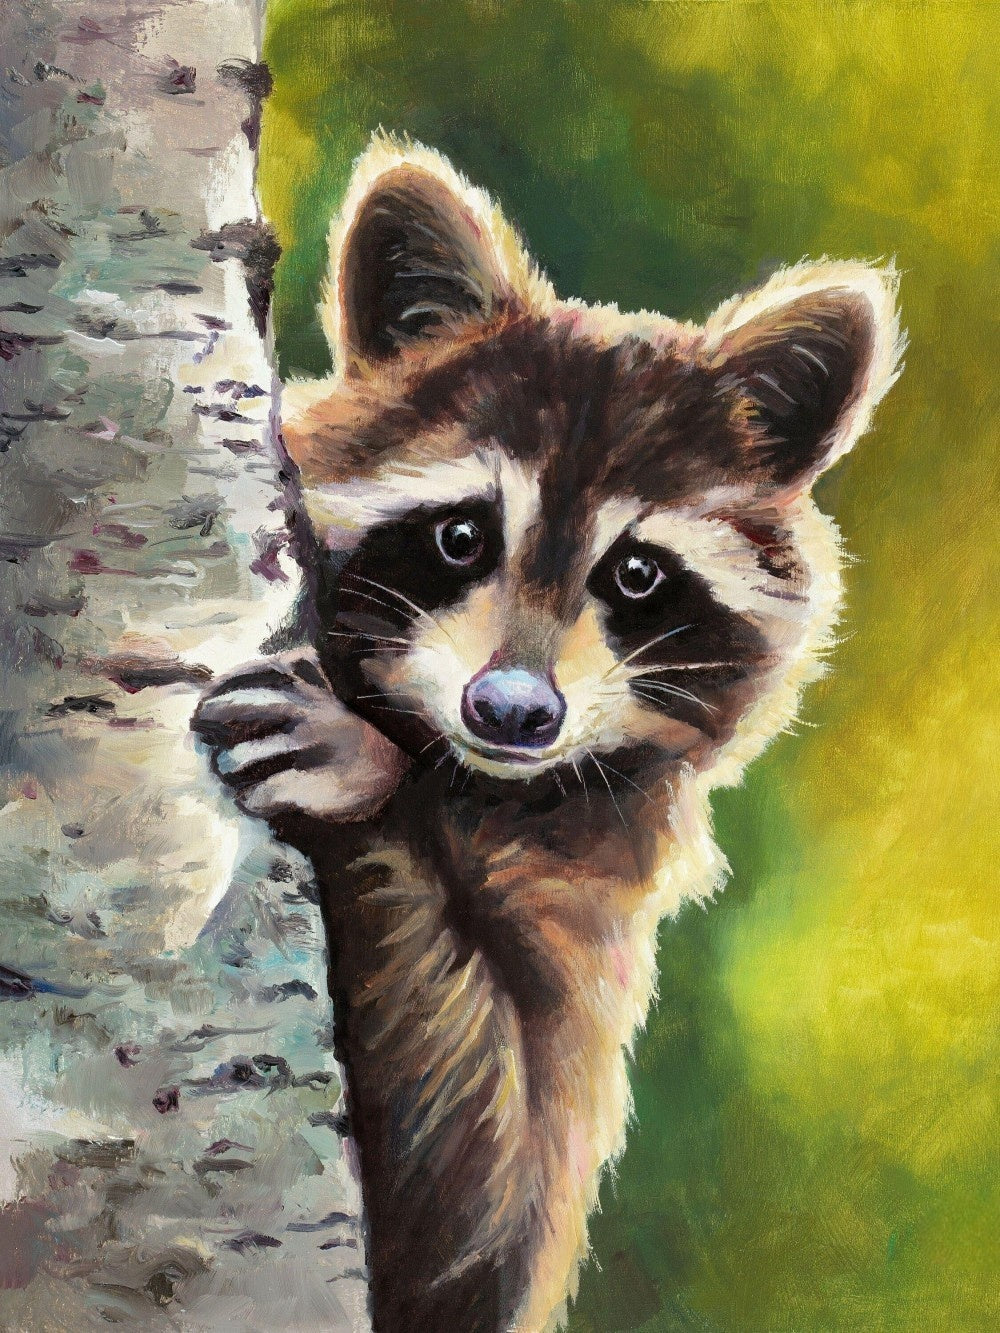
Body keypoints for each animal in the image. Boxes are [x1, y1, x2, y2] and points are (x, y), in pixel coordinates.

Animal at [193, 137, 903, 1333]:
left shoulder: (593, 910)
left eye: (637, 573)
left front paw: (365, 786)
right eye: (461, 535)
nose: (514, 709)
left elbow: (470, 1225)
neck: (470, 779)